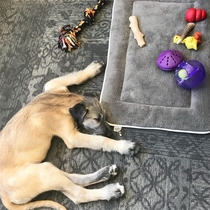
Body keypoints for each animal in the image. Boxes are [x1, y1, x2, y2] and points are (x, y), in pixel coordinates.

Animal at [0, 60, 136, 210]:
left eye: (105, 117)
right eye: (97, 119)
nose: (111, 133)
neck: (65, 103)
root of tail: (4, 196)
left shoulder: (52, 85)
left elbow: (73, 77)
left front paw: (92, 68)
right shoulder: (72, 137)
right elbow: (100, 140)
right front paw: (123, 146)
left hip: (45, 170)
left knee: (74, 179)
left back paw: (106, 173)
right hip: (43, 173)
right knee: (78, 194)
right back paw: (110, 191)